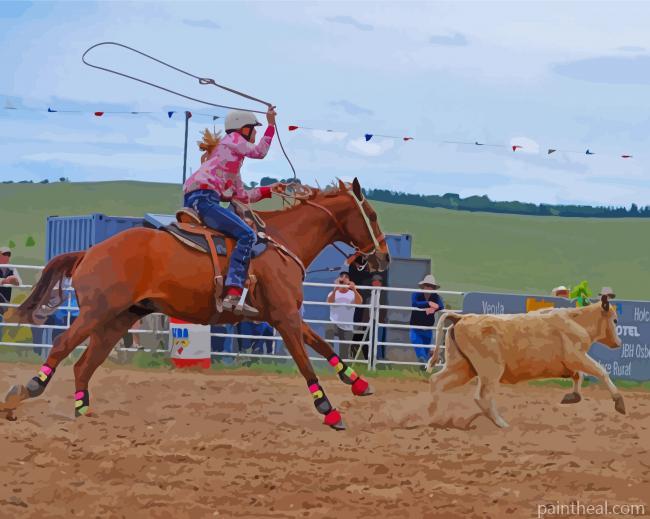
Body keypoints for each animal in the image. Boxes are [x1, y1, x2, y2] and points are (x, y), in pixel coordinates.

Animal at [426, 295, 624, 428]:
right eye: (615, 320)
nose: (619, 343)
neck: (577, 321)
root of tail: (461, 318)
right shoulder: (576, 356)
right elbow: (600, 371)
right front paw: (619, 402)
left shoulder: (572, 362)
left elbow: (578, 376)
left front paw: (572, 396)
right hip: (490, 370)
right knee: (483, 396)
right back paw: (501, 423)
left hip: (462, 368)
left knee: (436, 381)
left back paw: (435, 417)